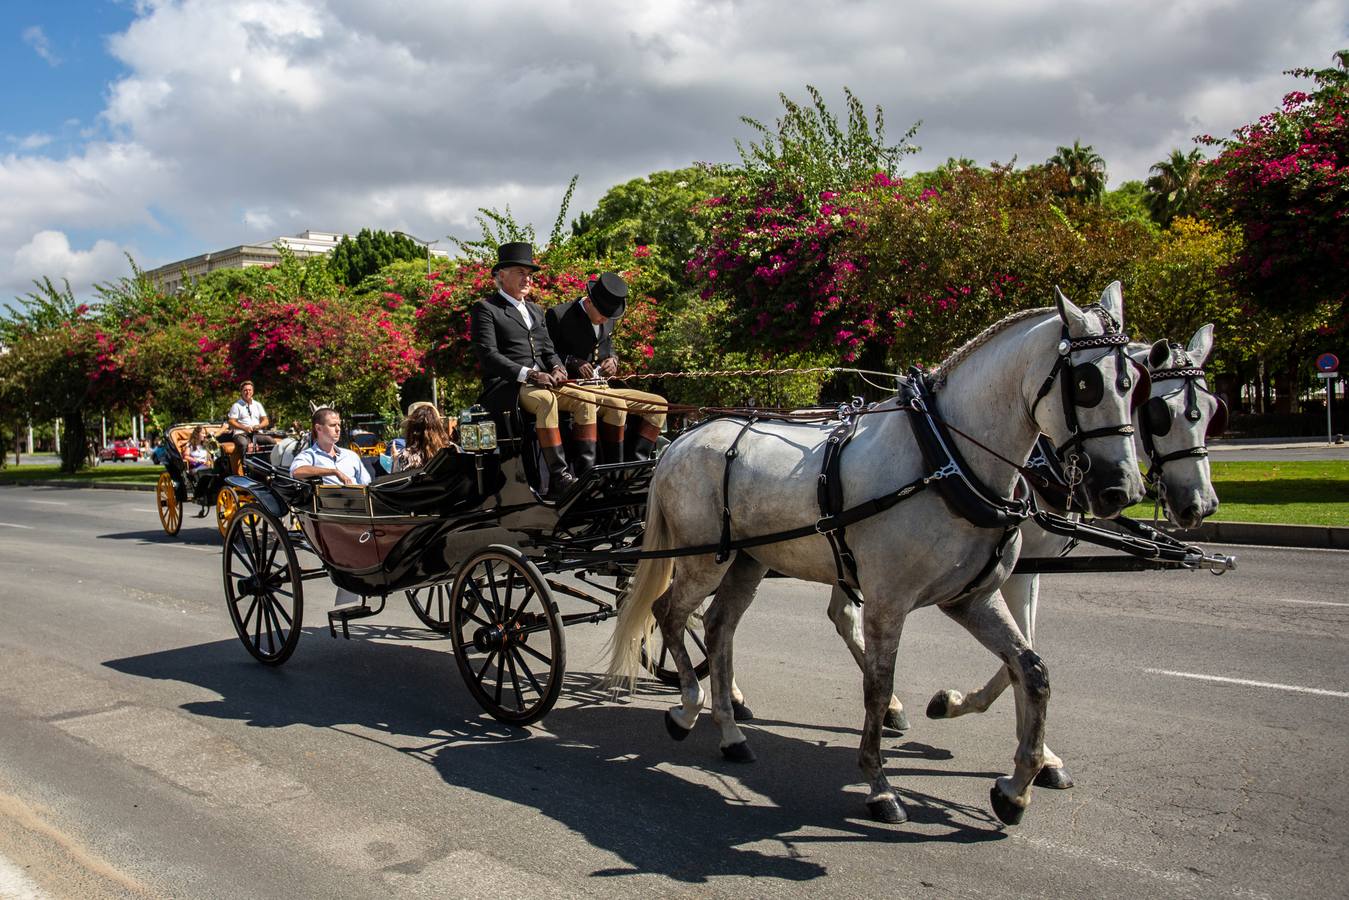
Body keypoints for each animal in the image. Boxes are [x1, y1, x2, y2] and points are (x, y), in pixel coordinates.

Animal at [612, 287, 1149, 825]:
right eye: (1086, 383)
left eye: (1133, 385)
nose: (1122, 489)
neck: (944, 458)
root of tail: (682, 439)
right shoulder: (888, 600)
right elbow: (878, 682)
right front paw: (880, 784)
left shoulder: (971, 598)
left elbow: (1032, 669)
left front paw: (1017, 786)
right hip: (705, 559)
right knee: (670, 613)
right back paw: (687, 707)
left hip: (749, 560)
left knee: (718, 625)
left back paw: (730, 731)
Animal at [928, 325, 1224, 788]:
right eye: (1160, 412)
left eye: (1212, 411)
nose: (1201, 504)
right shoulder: (1009, 572)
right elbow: (1022, 649)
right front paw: (966, 706)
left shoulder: (1025, 573)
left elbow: (1026, 645)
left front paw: (1039, 754)